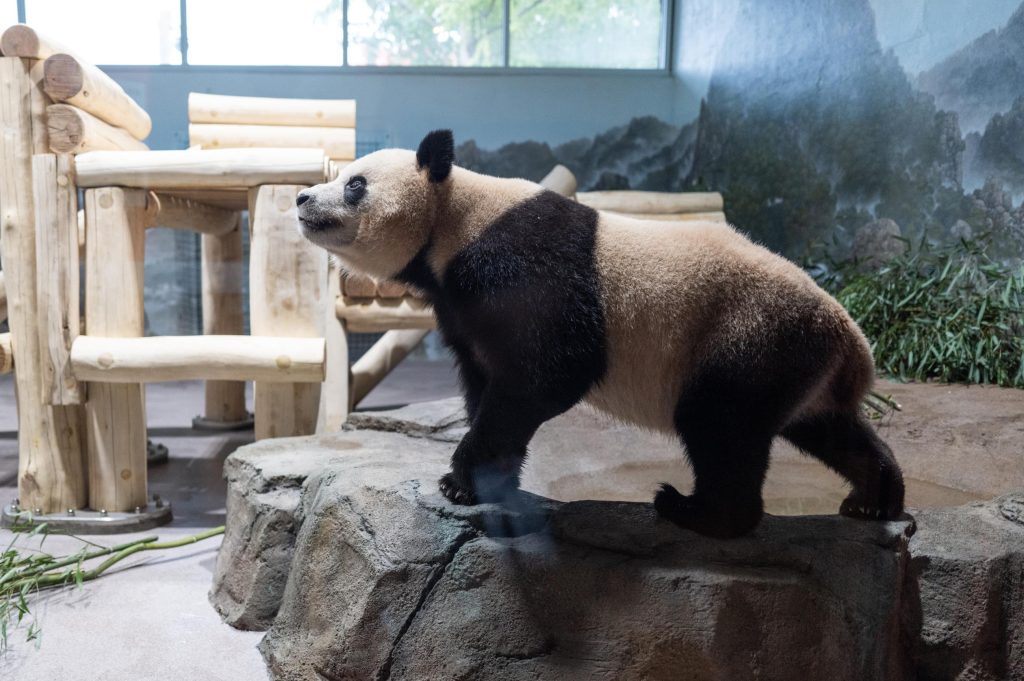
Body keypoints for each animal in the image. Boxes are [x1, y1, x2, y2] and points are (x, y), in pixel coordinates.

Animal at [296, 129, 905, 538]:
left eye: (354, 184)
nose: (303, 199)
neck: (453, 219)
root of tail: (853, 343)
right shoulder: (459, 302)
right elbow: (484, 376)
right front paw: (488, 479)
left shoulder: (519, 264)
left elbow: (553, 370)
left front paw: (459, 479)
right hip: (797, 361)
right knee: (826, 427)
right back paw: (874, 499)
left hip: (748, 333)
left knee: (719, 422)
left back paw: (697, 511)